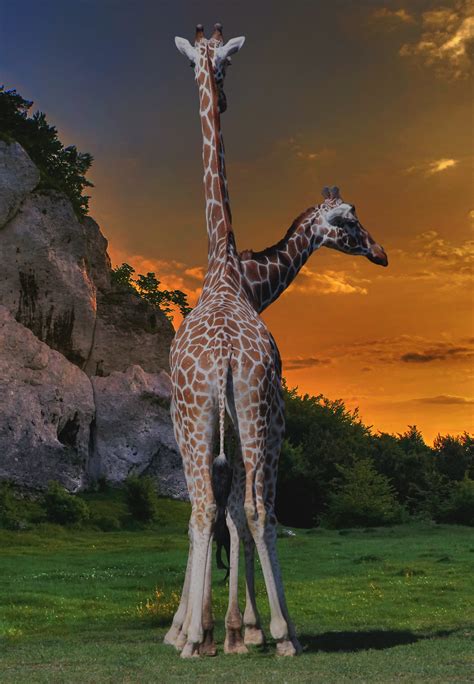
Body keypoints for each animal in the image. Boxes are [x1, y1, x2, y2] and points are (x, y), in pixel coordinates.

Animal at [165, 24, 388, 658]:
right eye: (349, 219)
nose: (381, 252)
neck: (231, 273)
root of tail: (223, 358)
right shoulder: (262, 421)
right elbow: (240, 515)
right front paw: (241, 629)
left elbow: (224, 515)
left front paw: (227, 629)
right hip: (247, 418)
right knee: (247, 510)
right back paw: (270, 632)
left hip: (208, 421)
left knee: (213, 509)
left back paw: (207, 634)